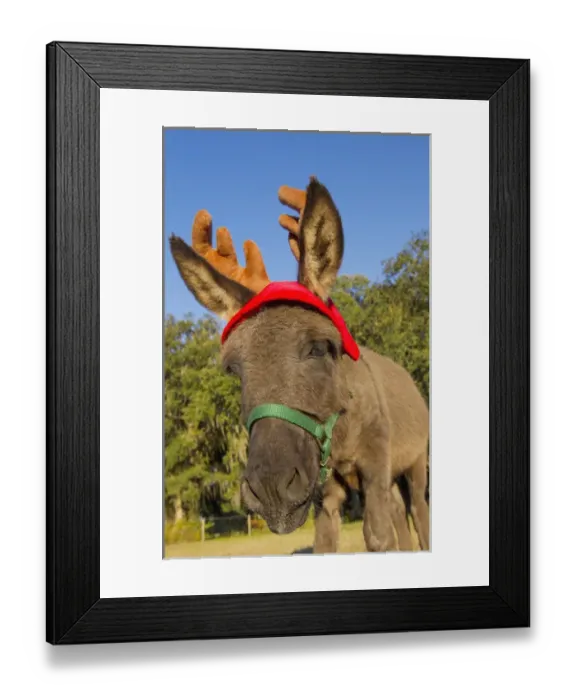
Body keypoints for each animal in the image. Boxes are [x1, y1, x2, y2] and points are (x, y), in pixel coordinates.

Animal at [169, 177, 429, 554]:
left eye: (320, 348)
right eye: (234, 368)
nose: (271, 488)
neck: (342, 438)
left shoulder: (375, 461)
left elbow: (379, 537)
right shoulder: (326, 490)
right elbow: (325, 544)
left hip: (415, 461)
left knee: (419, 511)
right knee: (400, 513)